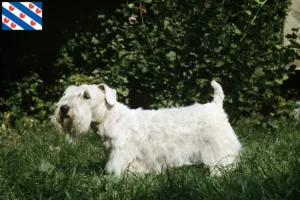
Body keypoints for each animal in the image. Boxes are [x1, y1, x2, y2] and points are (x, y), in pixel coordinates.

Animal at [51, 79, 241, 175]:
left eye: (86, 96)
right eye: (66, 94)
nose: (64, 109)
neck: (111, 118)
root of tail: (215, 105)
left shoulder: (121, 154)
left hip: (219, 147)